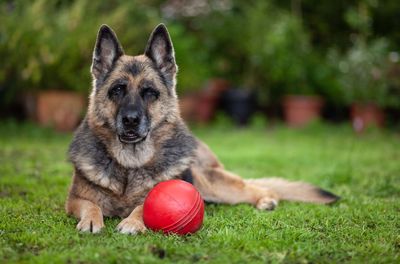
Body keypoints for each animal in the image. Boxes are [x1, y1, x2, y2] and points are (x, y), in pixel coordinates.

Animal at [65, 24, 338, 233]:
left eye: (149, 92)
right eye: (118, 90)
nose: (130, 119)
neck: (130, 166)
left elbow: (143, 206)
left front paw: (132, 221)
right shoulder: (74, 200)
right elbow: (91, 204)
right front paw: (91, 220)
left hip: (211, 183)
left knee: (257, 188)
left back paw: (266, 199)